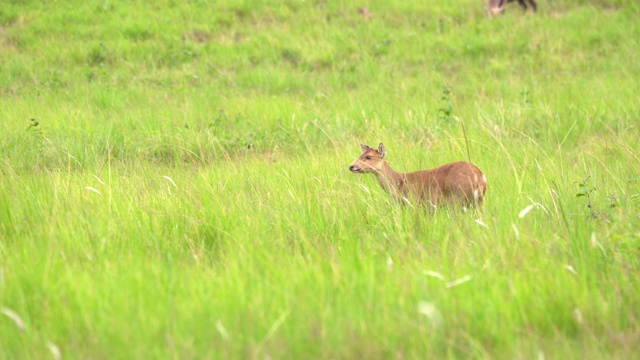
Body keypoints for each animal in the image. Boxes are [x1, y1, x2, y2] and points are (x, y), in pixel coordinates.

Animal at [348, 143, 488, 210]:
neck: (398, 183)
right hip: (479, 201)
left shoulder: (413, 202)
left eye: (369, 157)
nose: (351, 166)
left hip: (458, 198)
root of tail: (480, 175)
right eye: (360, 155)